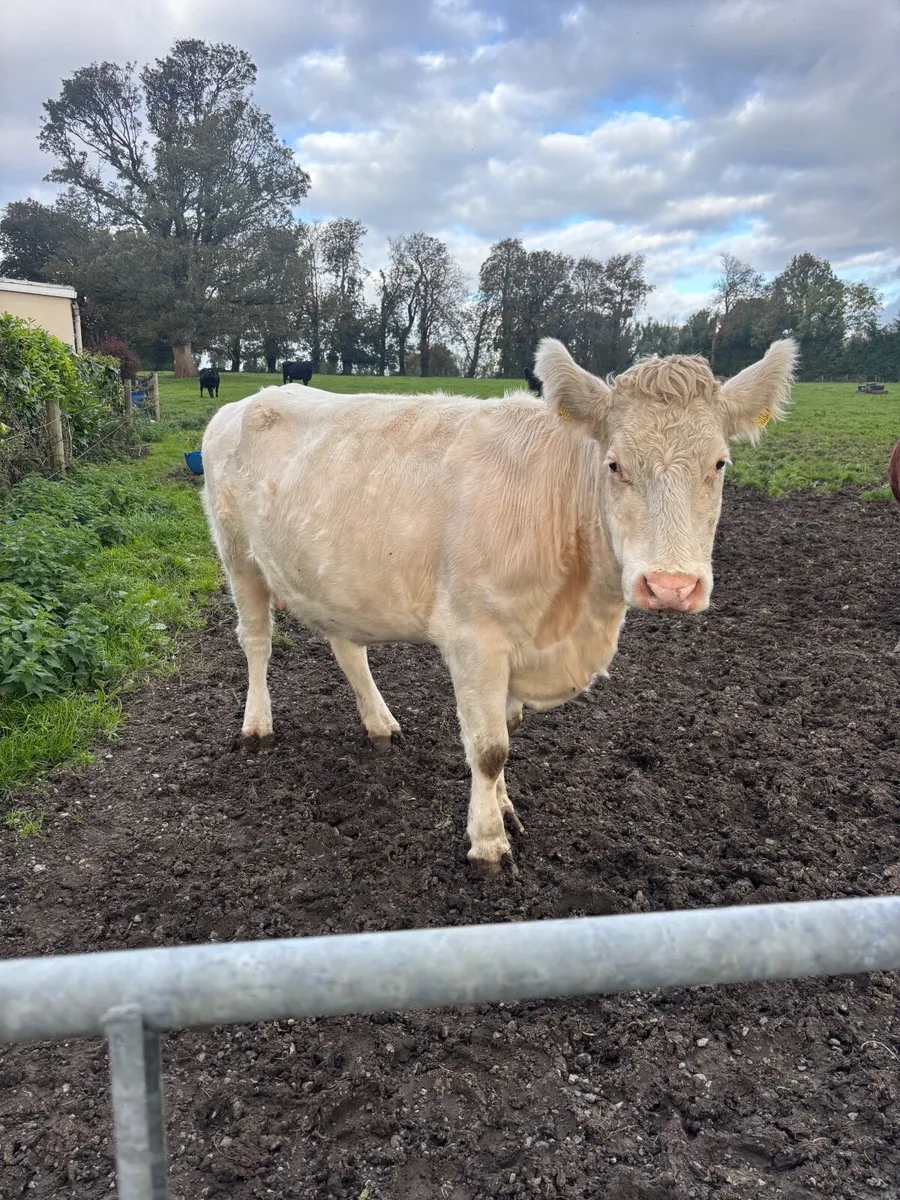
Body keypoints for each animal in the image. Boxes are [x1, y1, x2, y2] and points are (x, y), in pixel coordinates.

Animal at [201, 338, 797, 877]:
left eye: (719, 463)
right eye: (615, 464)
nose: (671, 585)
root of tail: (251, 398)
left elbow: (508, 734)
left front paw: (506, 807)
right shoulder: (475, 638)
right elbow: (489, 748)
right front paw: (488, 843)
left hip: (336, 578)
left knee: (348, 648)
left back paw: (380, 723)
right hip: (237, 554)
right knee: (256, 641)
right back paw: (257, 726)